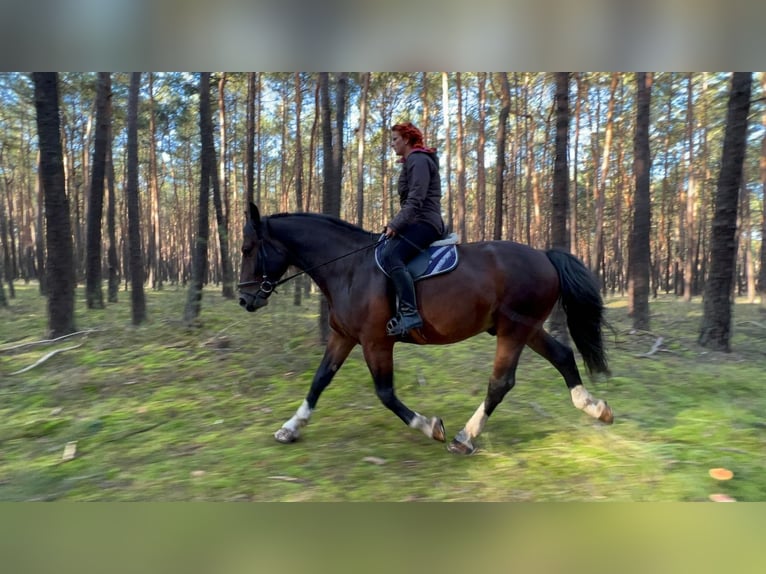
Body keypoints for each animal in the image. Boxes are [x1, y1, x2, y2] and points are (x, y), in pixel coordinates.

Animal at [237, 203, 613, 455]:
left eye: (246, 249)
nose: (244, 298)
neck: (349, 269)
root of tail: (545, 256)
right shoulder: (343, 337)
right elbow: (319, 380)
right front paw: (290, 428)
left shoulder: (375, 342)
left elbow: (385, 393)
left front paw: (430, 426)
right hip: (528, 328)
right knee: (563, 355)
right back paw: (594, 407)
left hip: (514, 330)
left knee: (501, 383)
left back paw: (465, 437)